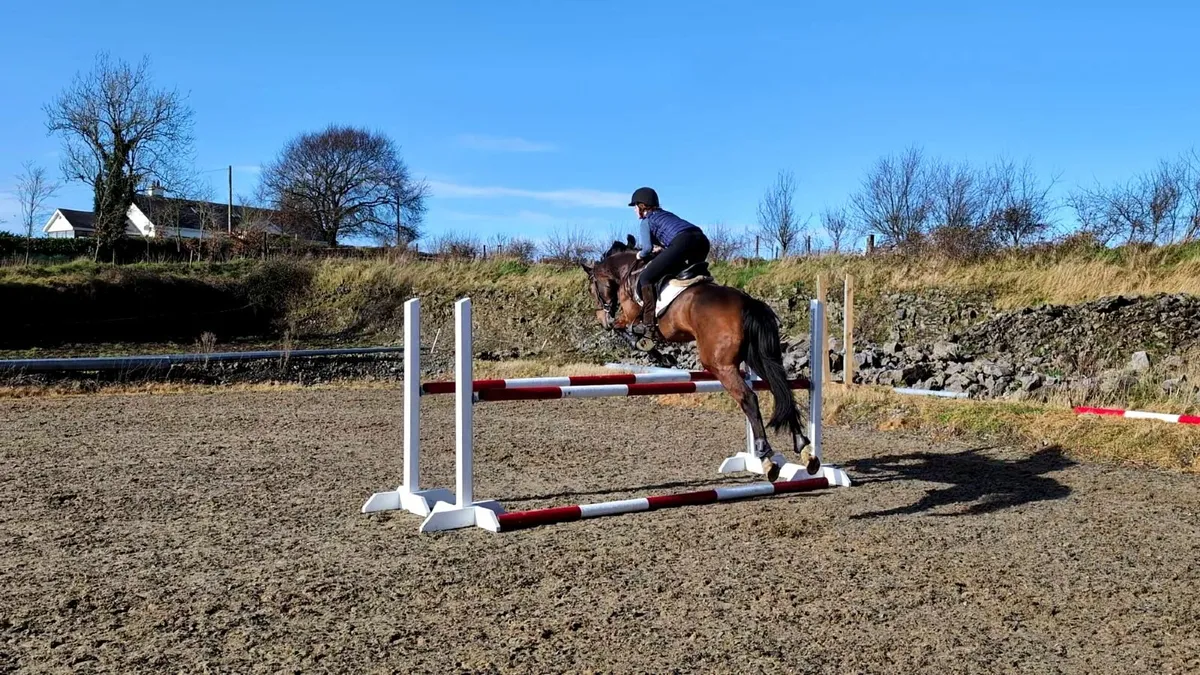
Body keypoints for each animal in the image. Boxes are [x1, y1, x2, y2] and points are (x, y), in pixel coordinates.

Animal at [580, 236, 819, 481]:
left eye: (591, 288)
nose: (602, 318)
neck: (629, 270)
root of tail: (747, 302)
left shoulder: (630, 316)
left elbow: (624, 330)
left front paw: (649, 348)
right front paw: (659, 355)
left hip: (720, 365)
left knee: (749, 398)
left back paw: (766, 457)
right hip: (758, 357)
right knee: (780, 390)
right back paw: (803, 448)